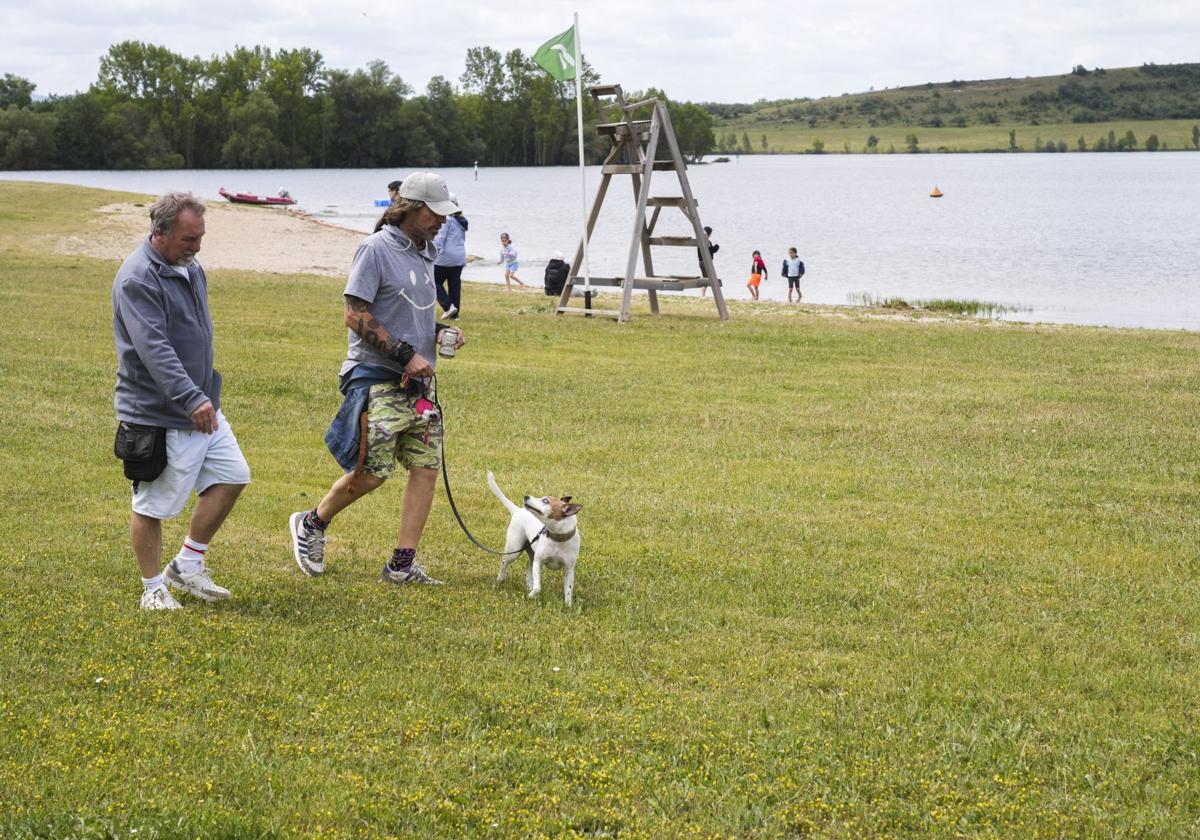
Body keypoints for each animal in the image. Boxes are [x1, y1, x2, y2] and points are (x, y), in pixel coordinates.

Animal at [487, 472, 580, 604]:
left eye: (545, 501)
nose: (526, 496)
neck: (557, 538)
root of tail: (518, 511)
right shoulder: (538, 562)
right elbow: (538, 587)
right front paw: (531, 596)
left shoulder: (569, 569)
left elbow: (568, 591)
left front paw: (568, 606)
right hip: (514, 550)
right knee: (504, 562)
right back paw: (500, 579)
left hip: (530, 552)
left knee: (528, 569)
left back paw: (528, 585)